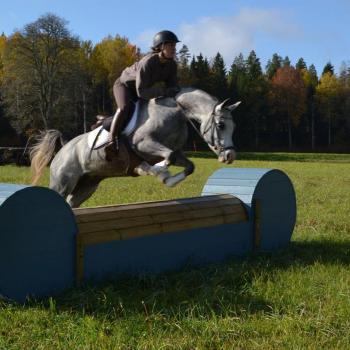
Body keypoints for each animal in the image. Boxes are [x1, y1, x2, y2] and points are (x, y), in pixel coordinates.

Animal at [30, 87, 241, 208]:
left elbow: (188, 165)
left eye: (234, 127)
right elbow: (167, 158)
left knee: (71, 203)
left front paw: (168, 179)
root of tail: (64, 148)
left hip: (87, 185)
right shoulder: (143, 144)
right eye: (221, 125)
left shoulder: (175, 151)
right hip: (63, 182)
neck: (177, 113)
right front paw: (159, 172)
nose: (230, 156)